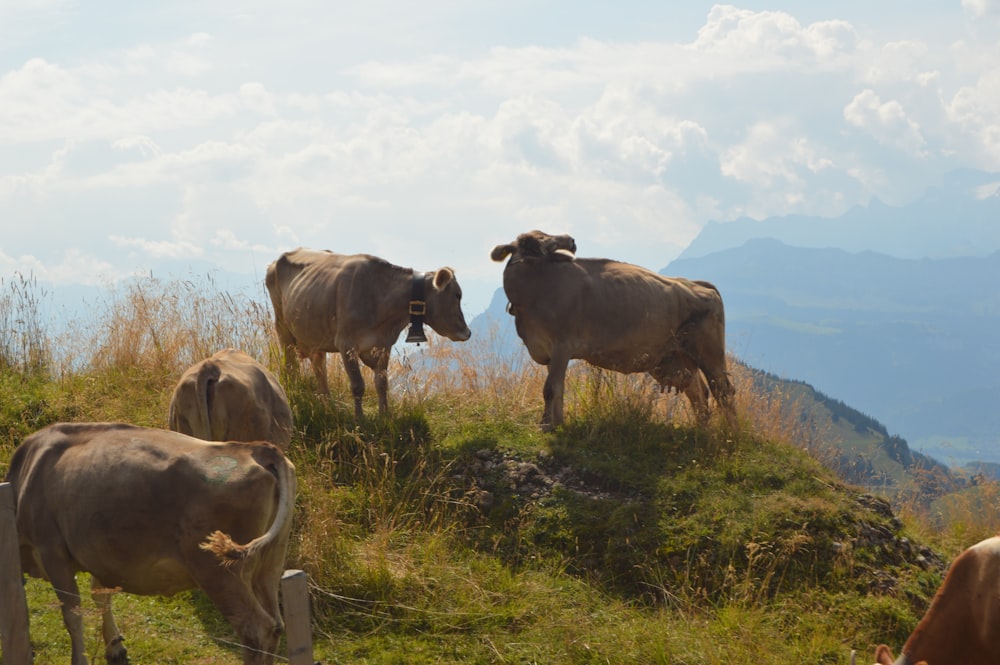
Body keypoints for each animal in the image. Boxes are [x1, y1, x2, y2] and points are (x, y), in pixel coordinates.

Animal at [6, 422, 296, 660]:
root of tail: (256, 448)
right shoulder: (100, 554)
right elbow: (101, 595)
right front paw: (115, 647)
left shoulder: (52, 551)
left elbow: (72, 615)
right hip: (270, 561)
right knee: (276, 625)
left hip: (218, 570)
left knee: (256, 630)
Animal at [264, 246, 470, 418]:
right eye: (457, 295)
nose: (467, 332)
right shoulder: (346, 344)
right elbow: (358, 385)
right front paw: (360, 419)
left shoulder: (383, 345)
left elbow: (382, 383)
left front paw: (385, 415)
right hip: (283, 328)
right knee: (291, 366)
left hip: (315, 334)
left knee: (319, 367)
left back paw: (328, 404)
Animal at [490, 231, 736, 430]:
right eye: (537, 241)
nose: (570, 240)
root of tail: (698, 284)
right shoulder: (547, 350)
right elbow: (556, 388)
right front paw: (554, 422)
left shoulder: (563, 345)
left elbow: (550, 388)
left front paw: (549, 425)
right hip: (676, 357)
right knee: (698, 391)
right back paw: (702, 430)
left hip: (709, 352)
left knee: (723, 391)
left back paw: (730, 433)